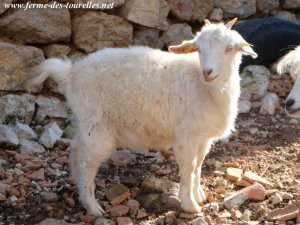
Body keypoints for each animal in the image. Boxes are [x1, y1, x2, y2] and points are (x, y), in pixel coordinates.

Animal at [25, 19, 256, 216]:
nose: (208, 72)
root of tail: (71, 74)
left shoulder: (202, 136)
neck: (205, 87)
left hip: (85, 122)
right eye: (198, 48)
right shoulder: (186, 136)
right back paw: (92, 206)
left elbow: (199, 165)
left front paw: (199, 196)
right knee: (86, 162)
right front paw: (190, 205)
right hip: (97, 127)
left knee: (75, 151)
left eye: (229, 48)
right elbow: (188, 167)